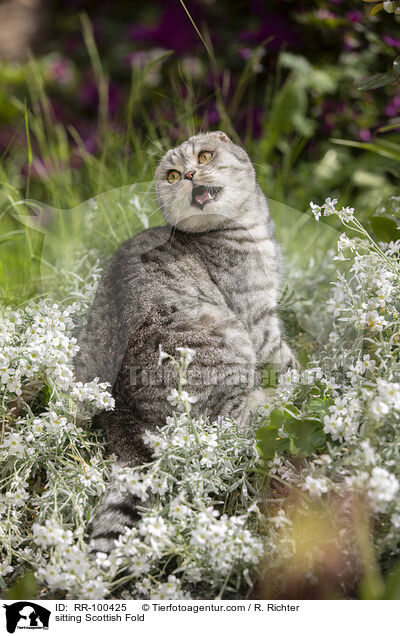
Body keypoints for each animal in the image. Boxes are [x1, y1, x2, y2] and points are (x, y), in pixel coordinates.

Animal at [74, 130, 294, 552]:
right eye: (173, 175)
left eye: (204, 156)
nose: (190, 173)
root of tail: (122, 412)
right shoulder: (258, 320)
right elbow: (287, 361)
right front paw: (313, 381)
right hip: (227, 336)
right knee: (233, 426)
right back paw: (276, 402)